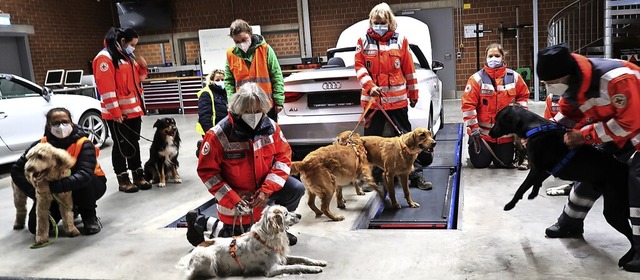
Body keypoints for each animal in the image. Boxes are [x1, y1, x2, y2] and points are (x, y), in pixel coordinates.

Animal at [488, 106, 632, 266]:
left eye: (498, 120)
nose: (489, 133)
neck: (535, 127)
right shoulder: (544, 170)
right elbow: (537, 183)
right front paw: (533, 193)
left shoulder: (536, 168)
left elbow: (521, 188)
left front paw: (510, 204)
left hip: (613, 211)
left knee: (632, 236)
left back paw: (627, 259)